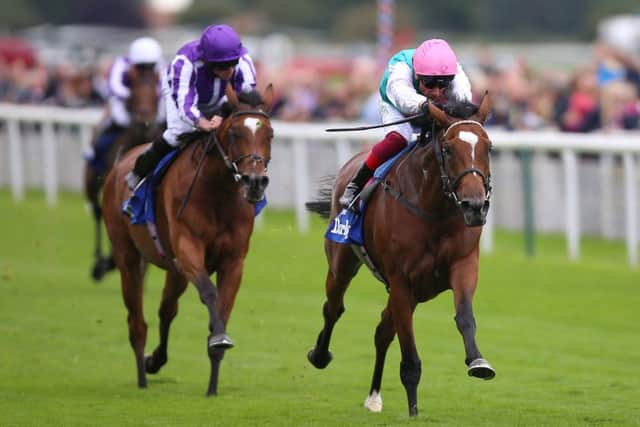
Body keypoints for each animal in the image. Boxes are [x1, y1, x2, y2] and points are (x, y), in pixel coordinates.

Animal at [84, 65, 164, 282]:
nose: (144, 117)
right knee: (96, 211)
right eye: (134, 91)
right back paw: (99, 264)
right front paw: (108, 262)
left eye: (155, 90)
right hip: (91, 181)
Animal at [101, 85, 274, 396]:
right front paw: (218, 339)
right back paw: (142, 379)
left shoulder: (233, 261)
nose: (254, 182)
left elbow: (222, 308)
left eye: (270, 134)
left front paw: (213, 385)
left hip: (175, 271)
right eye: (234, 133)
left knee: (167, 309)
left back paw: (155, 361)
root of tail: (121, 163)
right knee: (137, 322)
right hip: (128, 257)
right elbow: (209, 293)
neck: (218, 194)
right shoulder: (188, 249)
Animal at [304, 95, 496, 416]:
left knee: (382, 331)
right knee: (333, 307)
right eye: (448, 149)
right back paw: (319, 354)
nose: (474, 205)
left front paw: (478, 362)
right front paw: (414, 411)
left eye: (488, 147)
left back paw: (373, 396)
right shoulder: (401, 280)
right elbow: (410, 358)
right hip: (343, 263)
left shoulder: (463, 266)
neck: (434, 210)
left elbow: (465, 317)